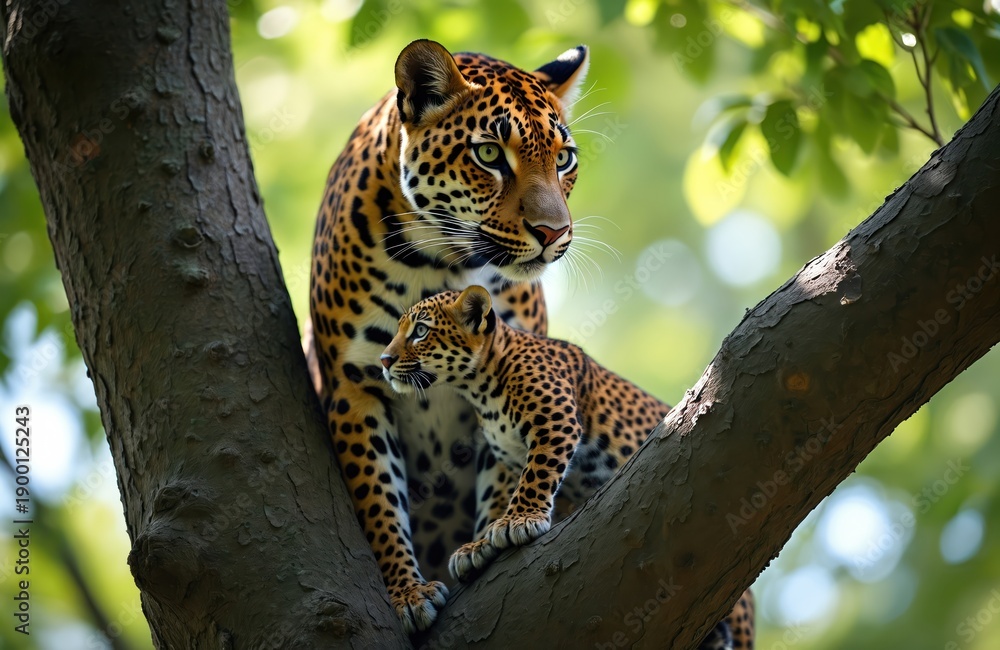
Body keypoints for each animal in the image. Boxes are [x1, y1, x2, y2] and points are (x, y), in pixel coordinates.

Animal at [307, 39, 590, 633]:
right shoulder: (355, 388)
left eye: (564, 159)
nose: (554, 232)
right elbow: (378, 498)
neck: (444, 265)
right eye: (488, 155)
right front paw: (407, 594)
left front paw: (488, 546)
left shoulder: (509, 376)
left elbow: (506, 472)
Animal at [380, 286, 755, 648]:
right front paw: (479, 547)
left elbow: (537, 475)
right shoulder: (508, 456)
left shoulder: (554, 419)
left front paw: (519, 522)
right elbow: (500, 497)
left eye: (420, 331)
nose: (384, 360)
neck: (478, 388)